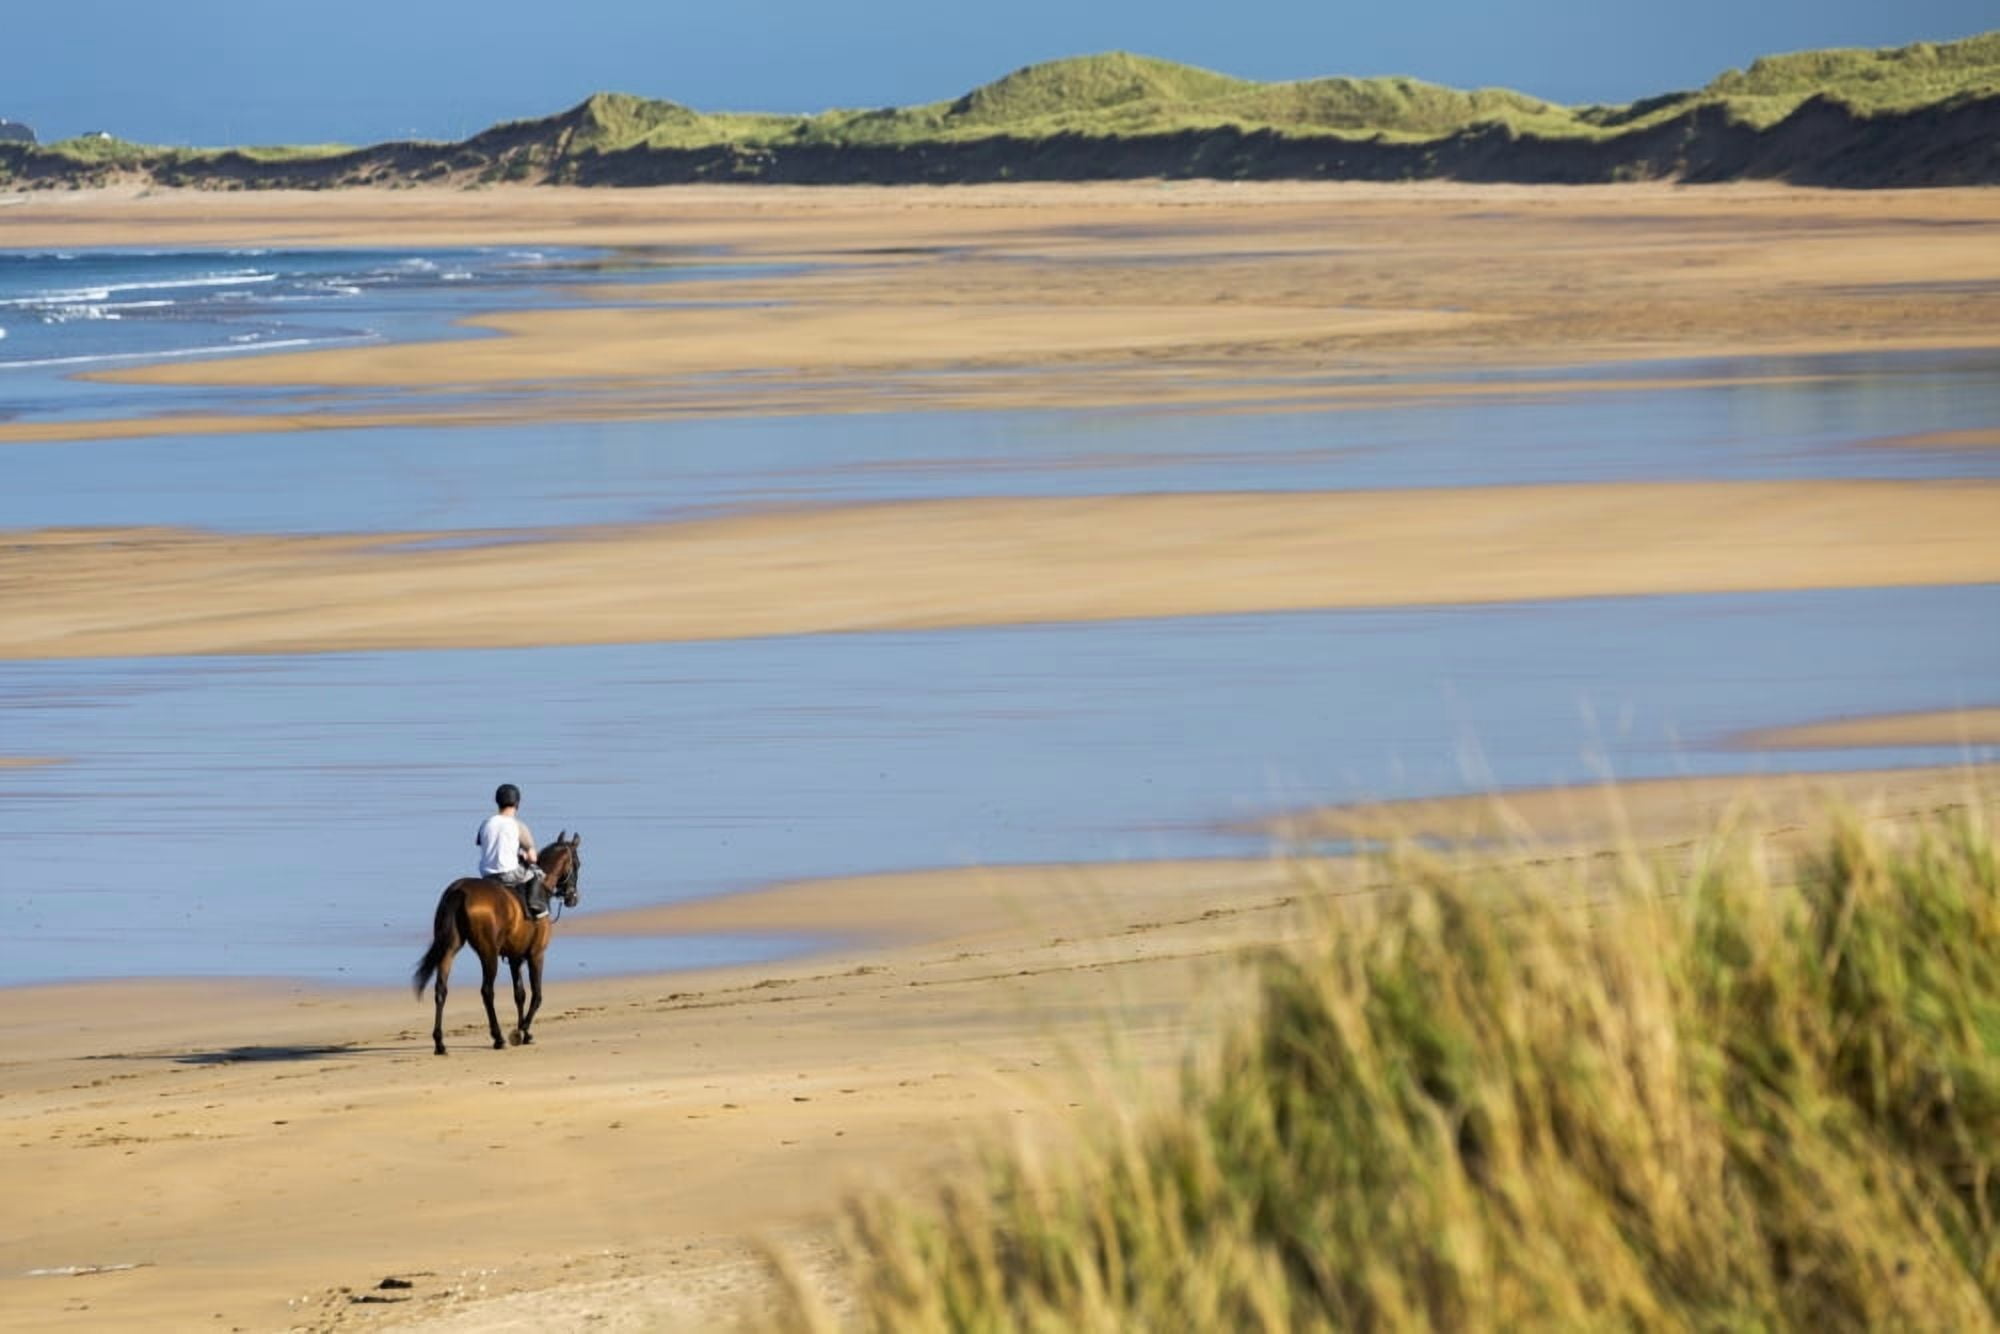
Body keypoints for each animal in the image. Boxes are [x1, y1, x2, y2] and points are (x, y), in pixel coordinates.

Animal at [412, 832, 582, 1055]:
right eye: (578, 864)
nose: (573, 898)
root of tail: (459, 890)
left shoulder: (515, 958)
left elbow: (520, 994)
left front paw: (525, 1033)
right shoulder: (536, 955)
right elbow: (536, 995)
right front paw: (522, 1031)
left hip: (449, 948)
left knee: (441, 989)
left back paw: (440, 1043)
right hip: (488, 952)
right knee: (487, 991)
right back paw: (498, 1037)